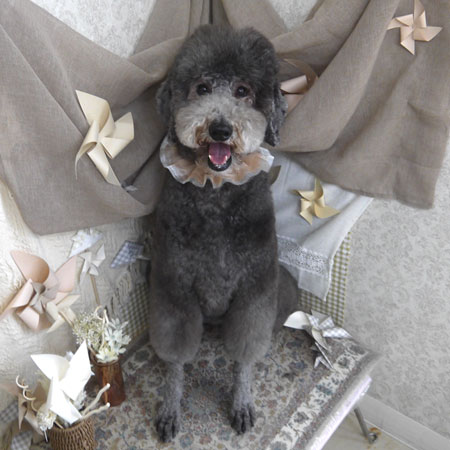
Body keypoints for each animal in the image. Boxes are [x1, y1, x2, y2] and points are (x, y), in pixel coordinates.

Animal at [150, 24, 298, 442]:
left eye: (242, 90)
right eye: (201, 88)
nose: (220, 128)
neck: (216, 194)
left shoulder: (254, 289)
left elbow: (244, 357)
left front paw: (242, 403)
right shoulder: (174, 290)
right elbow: (175, 361)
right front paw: (170, 408)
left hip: (283, 287)